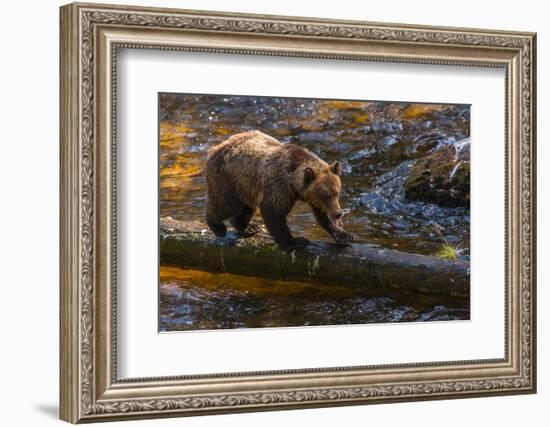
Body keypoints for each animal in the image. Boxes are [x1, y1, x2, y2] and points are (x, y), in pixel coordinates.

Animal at [205, 130, 356, 251]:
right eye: (325, 195)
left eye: (337, 192)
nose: (338, 213)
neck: (294, 183)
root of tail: (214, 148)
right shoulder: (279, 185)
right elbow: (274, 213)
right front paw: (295, 241)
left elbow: (323, 216)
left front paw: (344, 235)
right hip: (228, 178)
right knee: (225, 204)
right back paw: (217, 226)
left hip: (246, 187)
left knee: (246, 207)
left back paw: (248, 227)